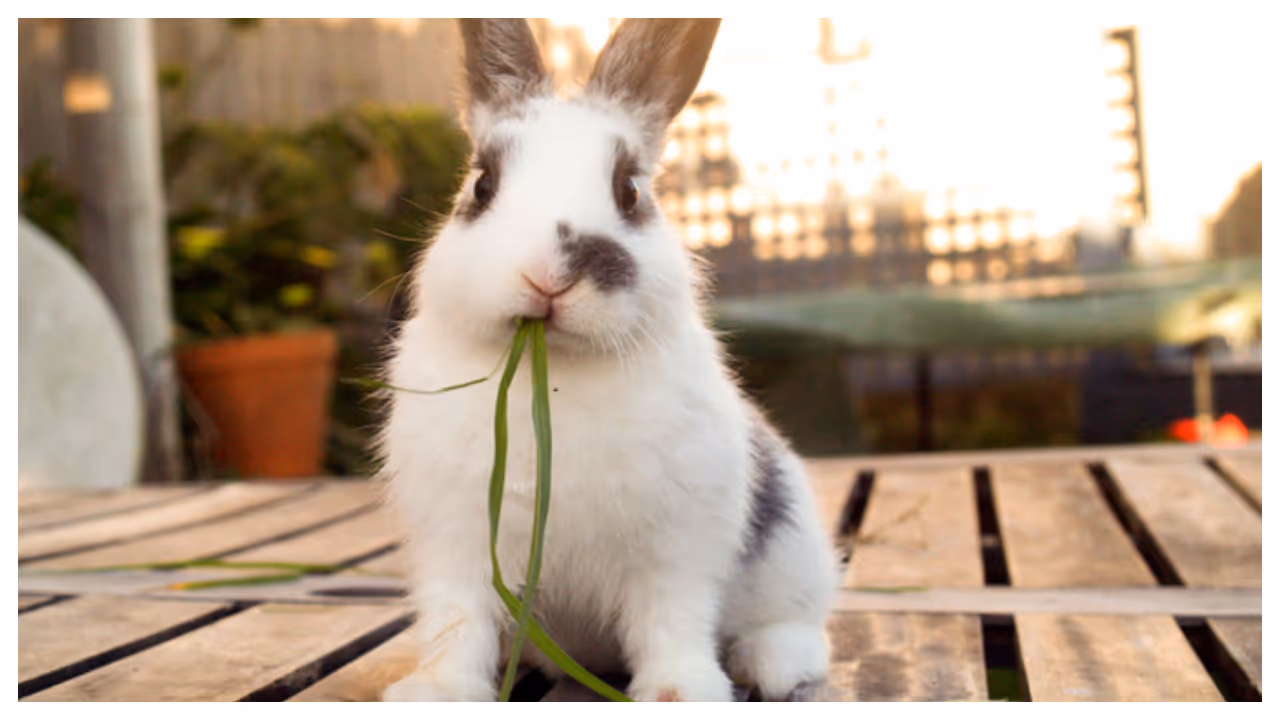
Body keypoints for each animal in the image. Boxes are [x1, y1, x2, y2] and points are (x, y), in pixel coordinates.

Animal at [378, 18, 837, 702]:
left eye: (630, 190)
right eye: (482, 185)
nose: (548, 275)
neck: (554, 378)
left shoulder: (676, 551)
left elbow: (671, 624)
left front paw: (681, 694)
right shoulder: (454, 545)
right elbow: (455, 625)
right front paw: (434, 693)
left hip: (794, 552)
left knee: (798, 625)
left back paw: (773, 662)